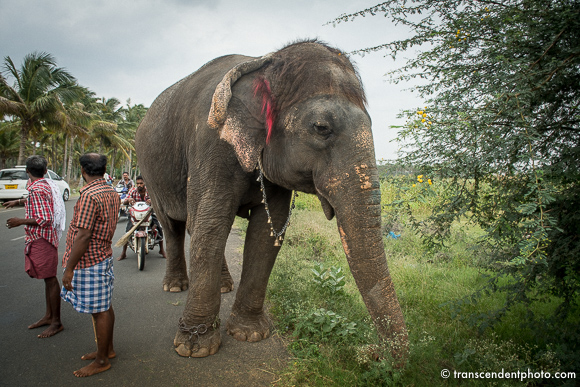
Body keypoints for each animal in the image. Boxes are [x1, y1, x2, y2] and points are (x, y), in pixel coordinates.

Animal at [135, 39, 408, 360]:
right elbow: (211, 224)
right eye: (321, 128)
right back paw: (175, 287)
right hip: (149, 172)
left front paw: (250, 334)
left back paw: (223, 286)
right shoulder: (210, 142)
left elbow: (266, 234)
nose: (373, 353)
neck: (265, 62)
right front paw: (194, 348)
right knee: (174, 226)